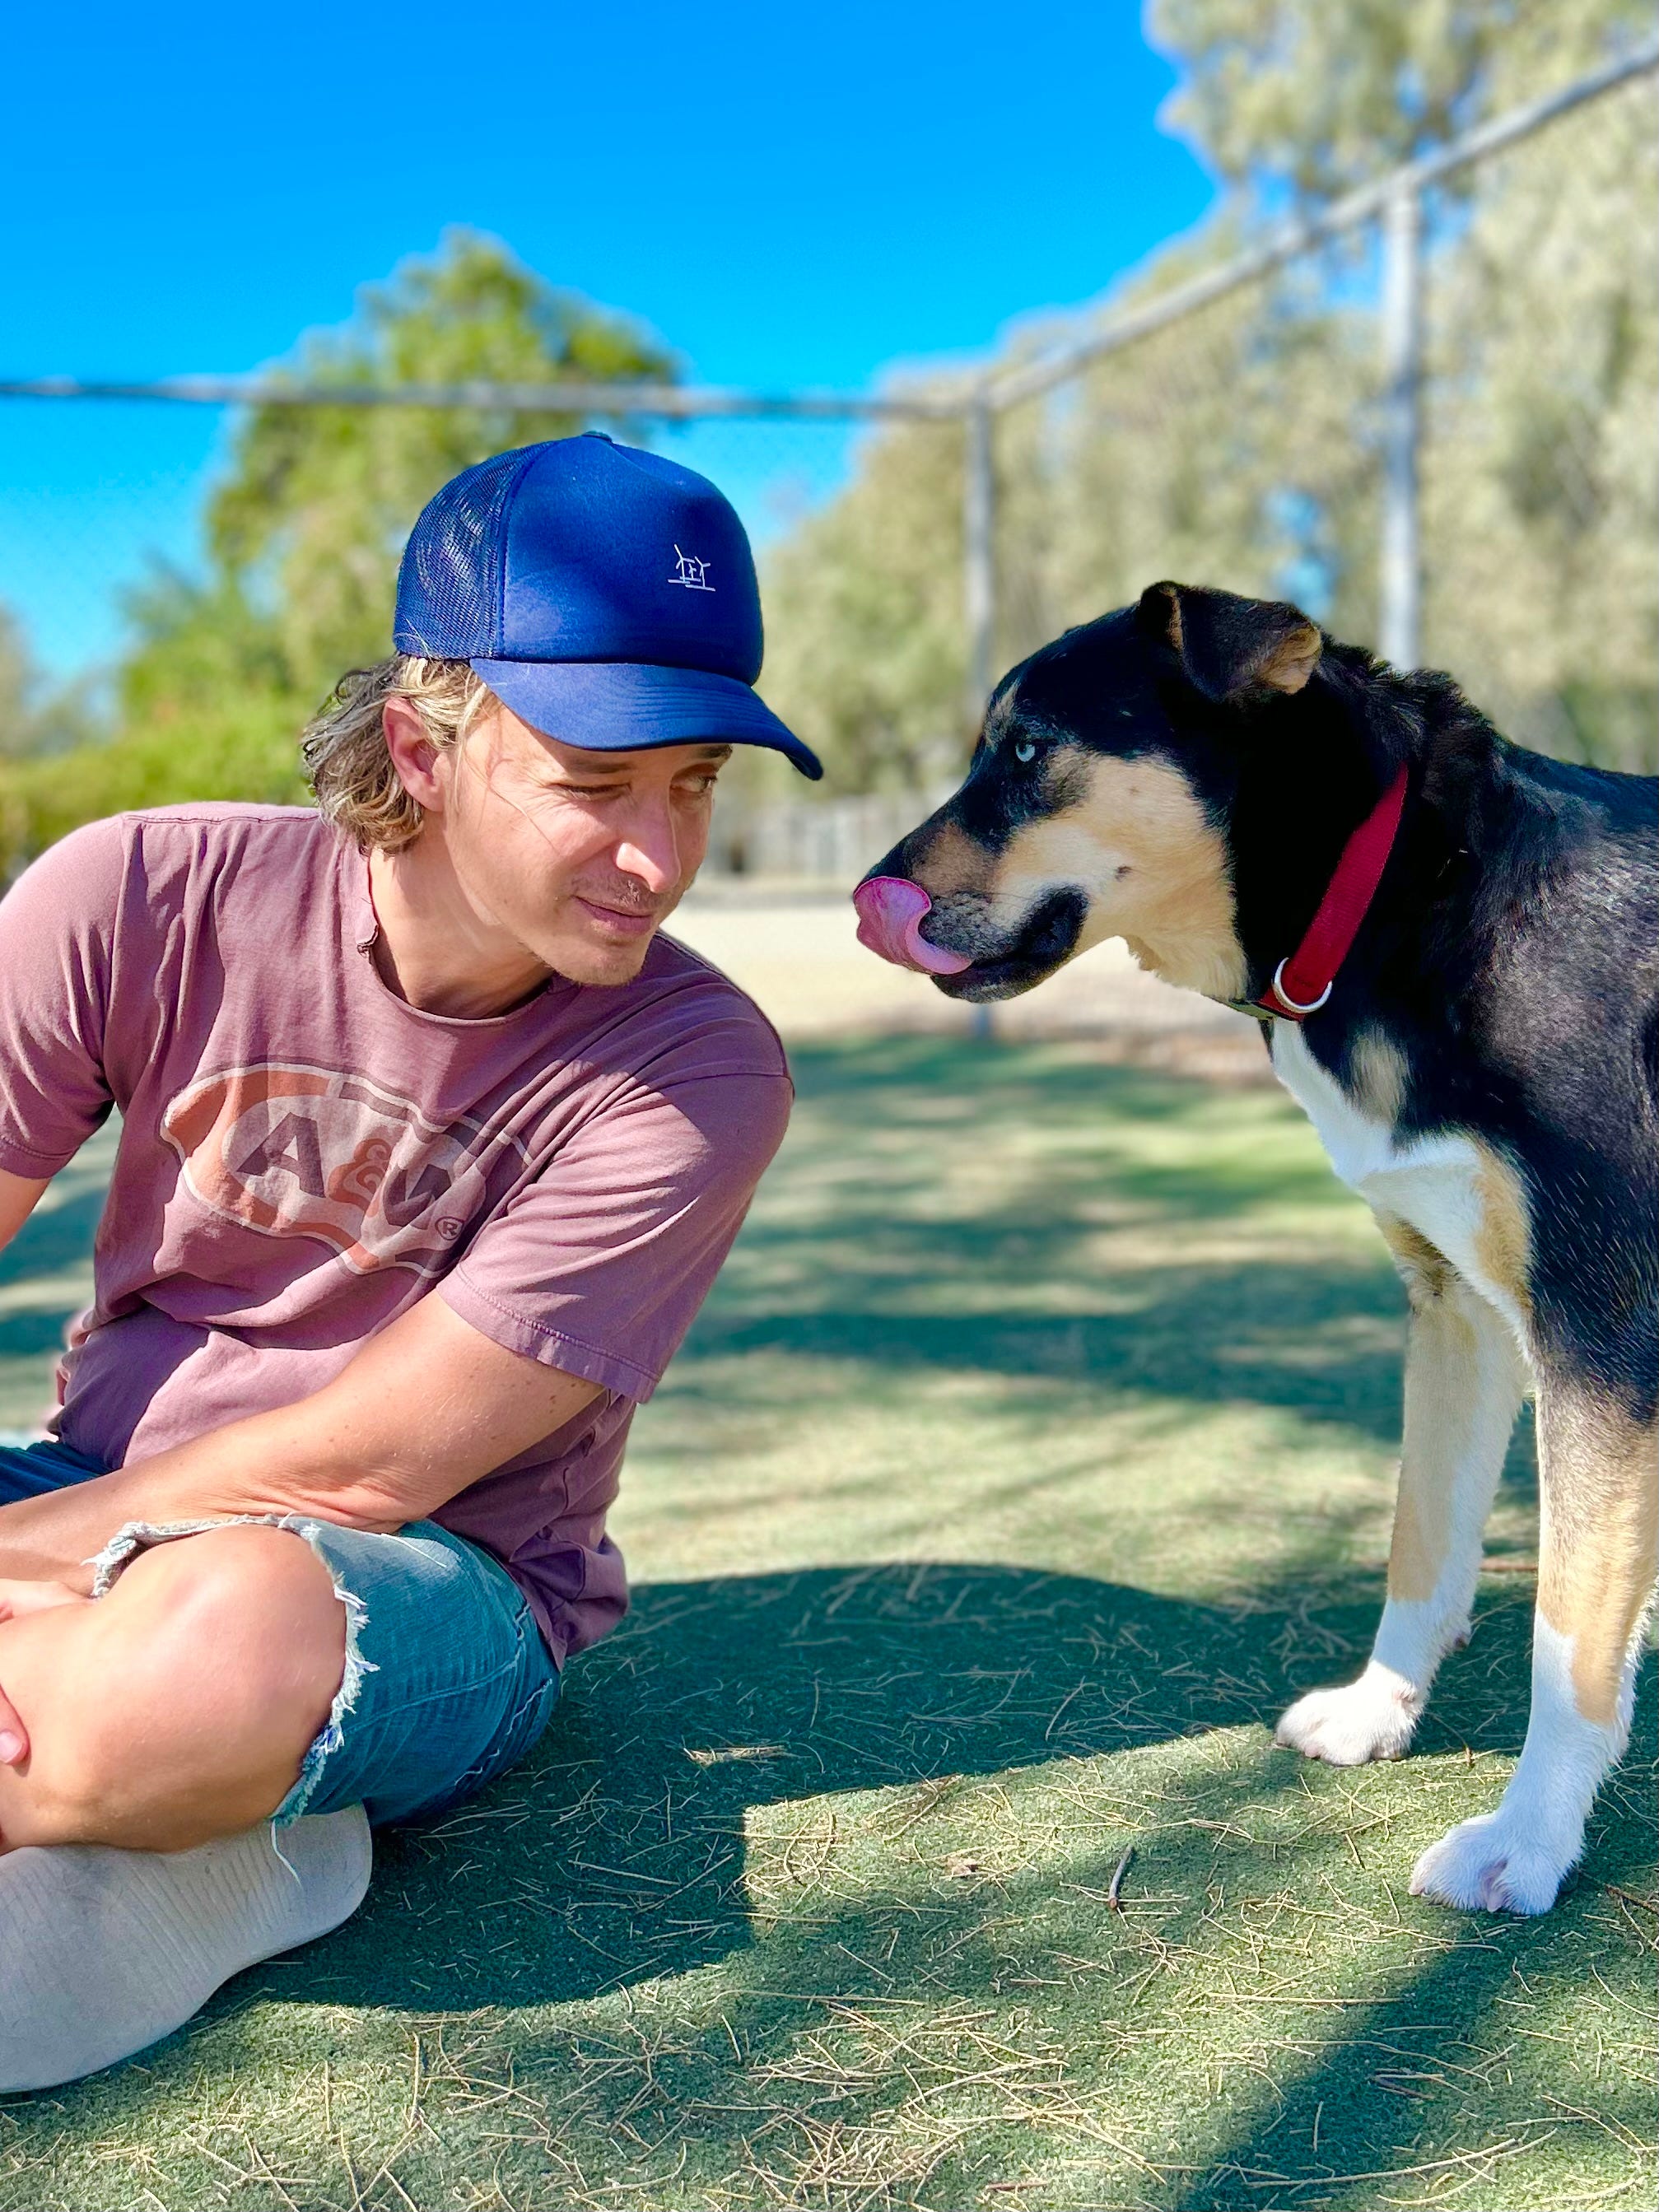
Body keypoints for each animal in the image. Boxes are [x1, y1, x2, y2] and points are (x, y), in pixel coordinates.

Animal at [852, 581, 1657, 1915]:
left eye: (1024, 748)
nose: (867, 903)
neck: (1403, 889)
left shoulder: (1598, 1335)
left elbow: (1566, 1632)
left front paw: (1528, 1836)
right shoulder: (1456, 1311)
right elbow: (1420, 1540)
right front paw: (1378, 1710)